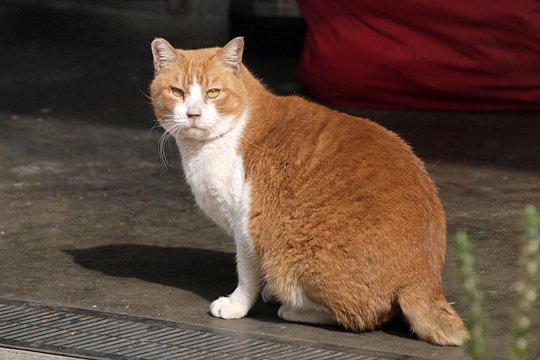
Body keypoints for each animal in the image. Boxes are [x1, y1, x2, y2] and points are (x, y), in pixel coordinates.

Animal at [149, 36, 468, 346]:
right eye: (177, 92)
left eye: (213, 93)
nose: (193, 114)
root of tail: (424, 278)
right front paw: (267, 289)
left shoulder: (247, 225)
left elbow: (247, 274)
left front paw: (237, 304)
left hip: (292, 253)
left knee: (358, 317)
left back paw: (293, 308)